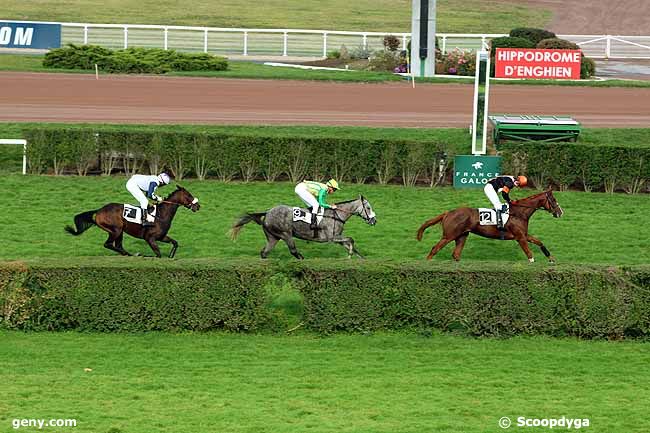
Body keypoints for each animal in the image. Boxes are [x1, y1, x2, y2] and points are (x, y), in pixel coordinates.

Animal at [65, 185, 200, 256]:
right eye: (189, 195)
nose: (198, 206)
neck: (161, 214)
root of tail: (99, 211)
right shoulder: (150, 238)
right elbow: (158, 253)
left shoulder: (161, 237)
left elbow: (175, 243)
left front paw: (171, 255)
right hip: (116, 229)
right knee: (108, 244)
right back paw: (130, 254)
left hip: (119, 231)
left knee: (117, 245)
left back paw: (130, 254)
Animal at [232, 197, 374, 260]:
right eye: (368, 208)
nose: (374, 220)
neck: (337, 215)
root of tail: (267, 213)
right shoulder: (331, 238)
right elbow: (351, 239)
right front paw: (350, 255)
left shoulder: (338, 238)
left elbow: (351, 244)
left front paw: (360, 258)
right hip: (285, 234)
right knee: (293, 250)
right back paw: (301, 258)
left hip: (273, 237)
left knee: (264, 252)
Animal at [416, 190, 560, 264]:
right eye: (553, 200)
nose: (560, 212)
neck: (519, 213)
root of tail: (448, 212)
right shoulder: (519, 237)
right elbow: (528, 252)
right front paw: (532, 261)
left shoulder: (524, 234)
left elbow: (539, 242)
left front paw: (551, 258)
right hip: (449, 236)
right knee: (435, 249)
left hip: (462, 236)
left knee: (455, 254)